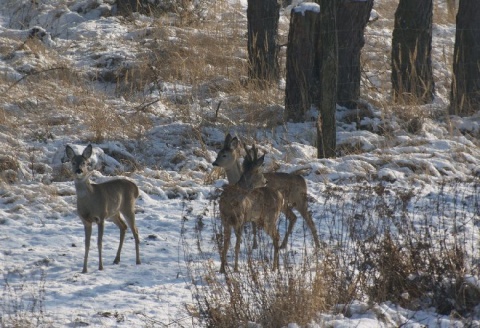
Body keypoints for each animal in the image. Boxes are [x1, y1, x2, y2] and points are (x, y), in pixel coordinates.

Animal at [218, 144, 284, 272]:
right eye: (259, 170)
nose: (266, 180)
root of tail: (280, 196)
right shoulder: (225, 220)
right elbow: (226, 245)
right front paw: (222, 269)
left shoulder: (240, 219)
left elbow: (237, 246)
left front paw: (236, 269)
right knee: (276, 236)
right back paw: (277, 267)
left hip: (270, 218)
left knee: (277, 236)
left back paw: (274, 267)